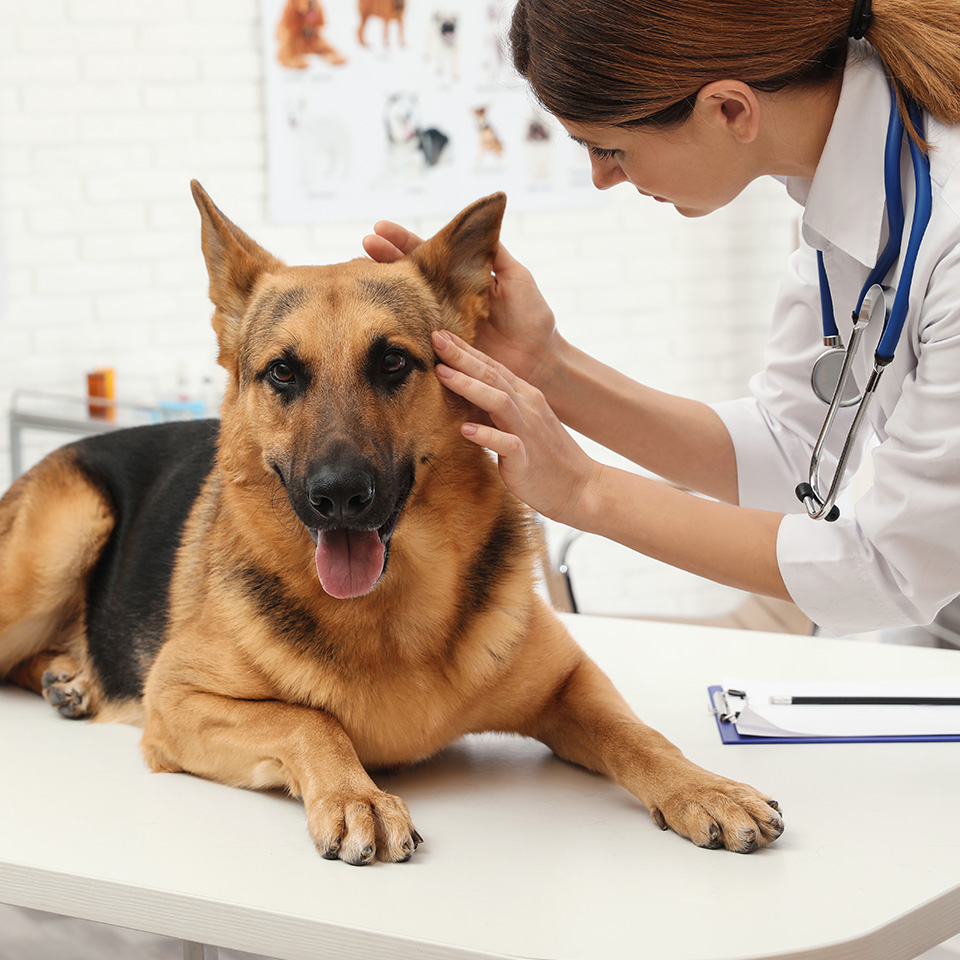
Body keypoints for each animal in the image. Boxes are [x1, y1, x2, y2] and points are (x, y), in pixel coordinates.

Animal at [0, 184, 780, 868]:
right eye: (283, 374)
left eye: (393, 362)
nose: (339, 496)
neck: (392, 609)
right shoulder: (177, 701)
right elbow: (309, 718)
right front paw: (358, 797)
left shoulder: (572, 684)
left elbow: (641, 736)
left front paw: (703, 787)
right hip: (65, 538)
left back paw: (70, 678)